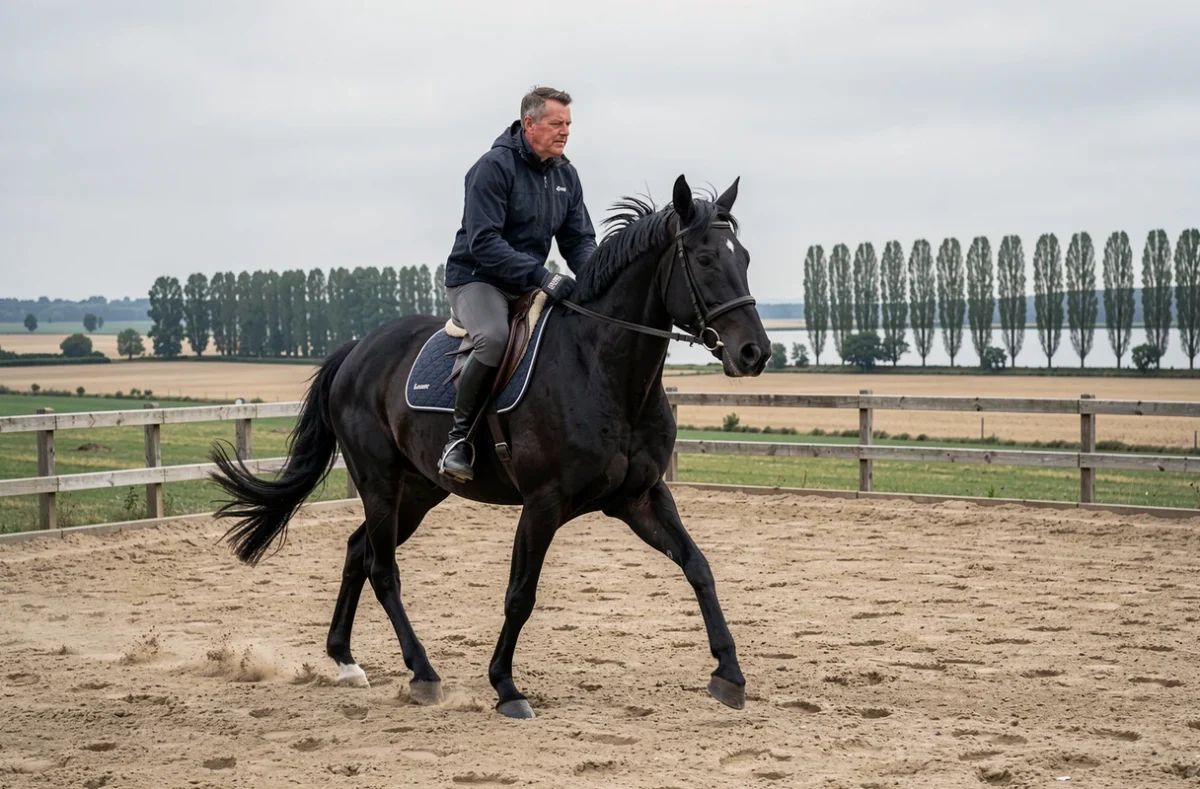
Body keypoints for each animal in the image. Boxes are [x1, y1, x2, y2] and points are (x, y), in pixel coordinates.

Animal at [209, 174, 772, 719]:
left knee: (356, 551)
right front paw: (505, 687)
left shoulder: (641, 497)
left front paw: (729, 674)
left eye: (744, 258)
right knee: (382, 569)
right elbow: (520, 595)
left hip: (419, 490)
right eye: (704, 259)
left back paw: (346, 661)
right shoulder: (543, 504)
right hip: (380, 482)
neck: (602, 366)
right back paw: (423, 674)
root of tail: (357, 351)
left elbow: (698, 567)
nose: (755, 352)